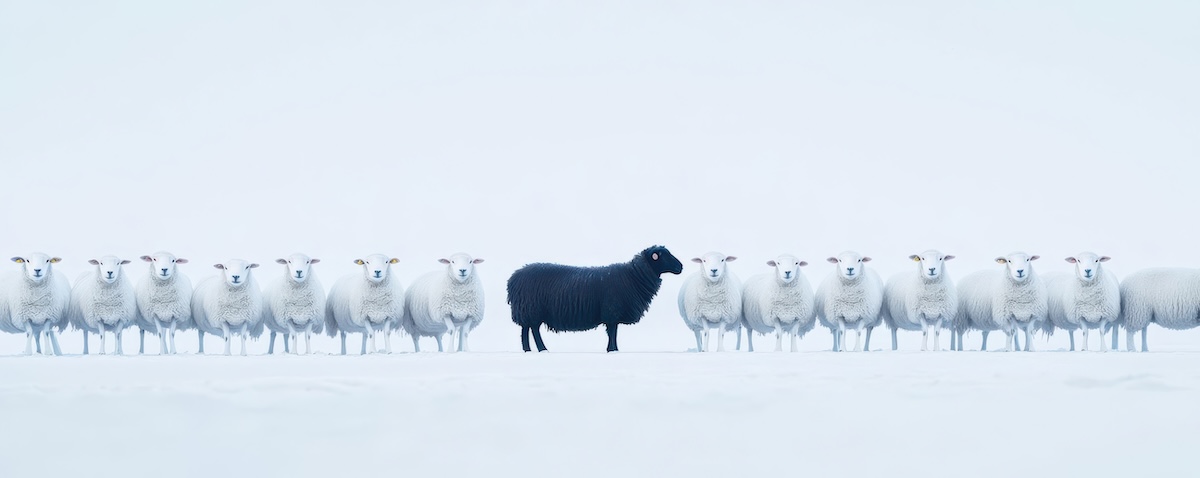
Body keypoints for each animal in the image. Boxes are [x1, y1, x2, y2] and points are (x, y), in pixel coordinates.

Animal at [508, 245, 684, 352]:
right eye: (664, 256)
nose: (681, 267)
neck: (632, 277)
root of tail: (513, 278)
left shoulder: (613, 314)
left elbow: (613, 333)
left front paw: (612, 350)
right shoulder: (612, 312)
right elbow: (612, 333)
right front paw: (613, 350)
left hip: (528, 311)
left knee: (526, 330)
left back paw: (528, 350)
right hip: (532, 309)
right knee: (533, 330)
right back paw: (542, 349)